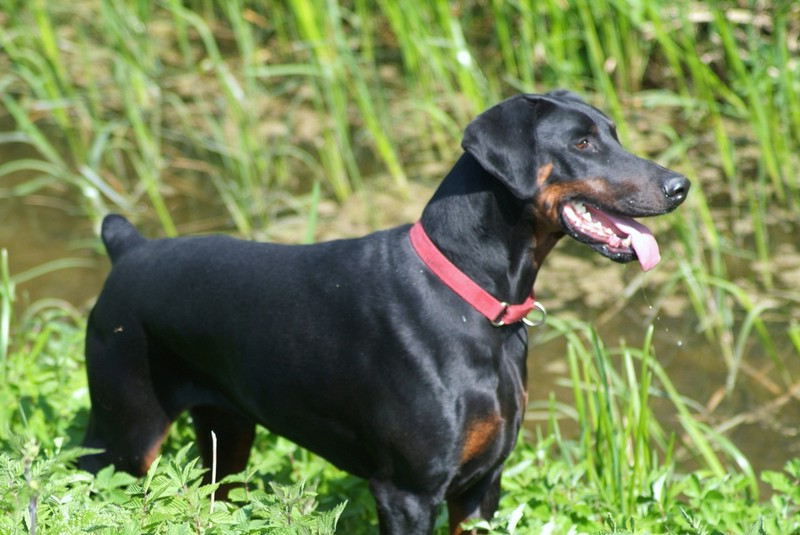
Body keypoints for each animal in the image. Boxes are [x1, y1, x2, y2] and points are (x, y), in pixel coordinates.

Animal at [79, 90, 688, 532]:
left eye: (612, 133)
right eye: (582, 143)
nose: (679, 185)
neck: (472, 298)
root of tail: (128, 248)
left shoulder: (481, 486)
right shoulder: (408, 492)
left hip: (226, 431)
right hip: (125, 430)